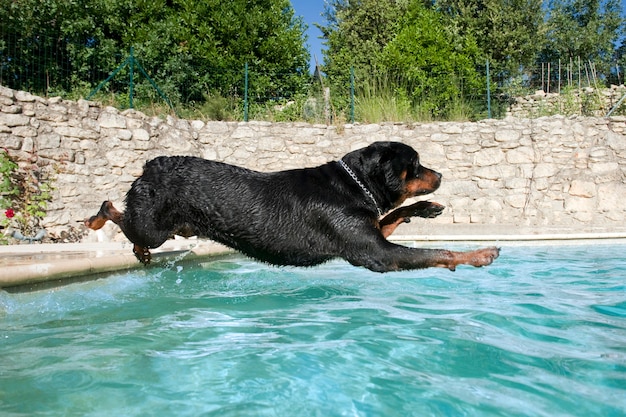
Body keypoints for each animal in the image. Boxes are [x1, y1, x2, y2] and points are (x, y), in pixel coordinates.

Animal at [86, 141, 498, 272]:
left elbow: (394, 214)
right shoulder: (374, 254)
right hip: (153, 225)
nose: (439, 175)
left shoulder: (369, 231)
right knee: (114, 211)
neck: (354, 185)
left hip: (171, 227)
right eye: (415, 164)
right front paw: (477, 254)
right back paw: (96, 221)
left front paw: (427, 207)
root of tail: (150, 164)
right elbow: (436, 252)